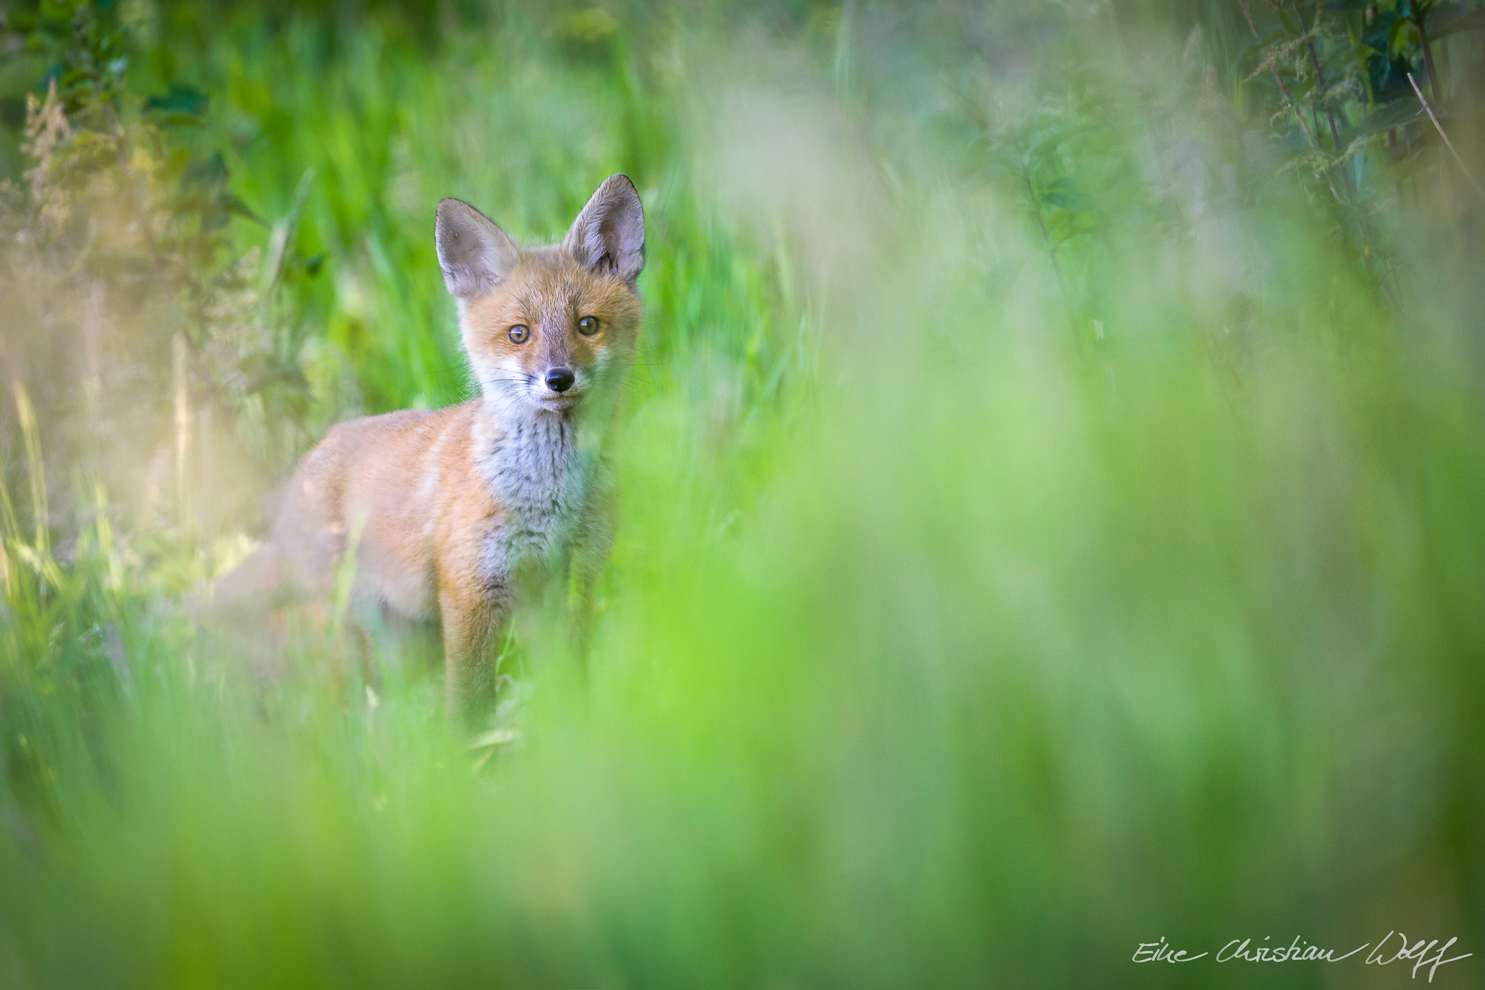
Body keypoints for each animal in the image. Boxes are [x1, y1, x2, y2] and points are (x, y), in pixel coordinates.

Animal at [218, 175, 644, 721]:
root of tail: (313, 454)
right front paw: (473, 745)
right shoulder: (469, 591)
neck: (548, 497)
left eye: (587, 325)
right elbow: (469, 704)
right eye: (519, 333)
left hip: (406, 645)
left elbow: (571, 686)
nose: (558, 378)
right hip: (346, 632)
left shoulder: (573, 582)